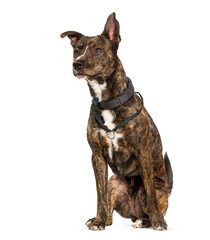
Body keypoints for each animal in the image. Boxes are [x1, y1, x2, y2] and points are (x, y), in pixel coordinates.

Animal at [60, 12, 172, 231]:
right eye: (77, 51)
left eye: (97, 50)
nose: (77, 64)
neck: (108, 101)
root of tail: (133, 212)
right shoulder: (97, 156)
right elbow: (100, 194)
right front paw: (98, 220)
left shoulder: (143, 153)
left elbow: (150, 195)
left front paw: (158, 222)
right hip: (114, 180)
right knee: (110, 206)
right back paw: (104, 219)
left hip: (158, 188)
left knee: (149, 203)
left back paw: (147, 220)